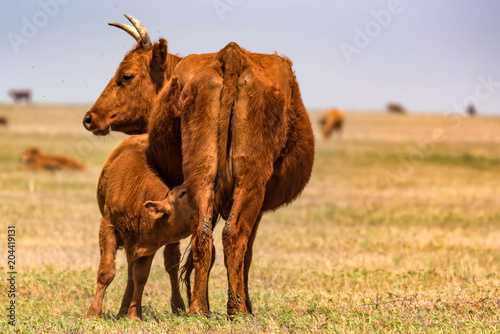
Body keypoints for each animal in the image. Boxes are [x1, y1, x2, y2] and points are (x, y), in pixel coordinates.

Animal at [86, 134, 191, 320]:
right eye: (182, 193)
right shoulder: (108, 228)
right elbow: (107, 271)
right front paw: (94, 312)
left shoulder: (150, 242)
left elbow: (140, 276)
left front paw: (135, 315)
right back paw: (121, 311)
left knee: (171, 265)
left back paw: (177, 307)